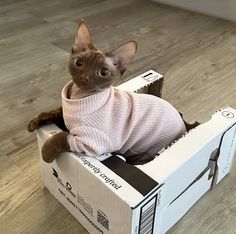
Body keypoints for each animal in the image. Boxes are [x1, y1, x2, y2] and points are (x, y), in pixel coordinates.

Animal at [27, 19, 197, 164]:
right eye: (79, 63)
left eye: (103, 72)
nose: (84, 77)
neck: (77, 97)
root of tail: (181, 122)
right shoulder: (64, 111)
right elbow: (53, 112)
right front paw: (34, 122)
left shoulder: (91, 143)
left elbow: (62, 136)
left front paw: (46, 152)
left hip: (144, 152)